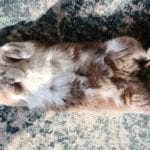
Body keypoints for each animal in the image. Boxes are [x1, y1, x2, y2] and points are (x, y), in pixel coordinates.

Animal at [0, 36, 149, 112]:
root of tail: (127, 76)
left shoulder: (32, 47)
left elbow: (7, 48)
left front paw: (16, 60)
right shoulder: (19, 96)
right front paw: (12, 74)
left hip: (120, 44)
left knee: (144, 52)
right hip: (135, 100)